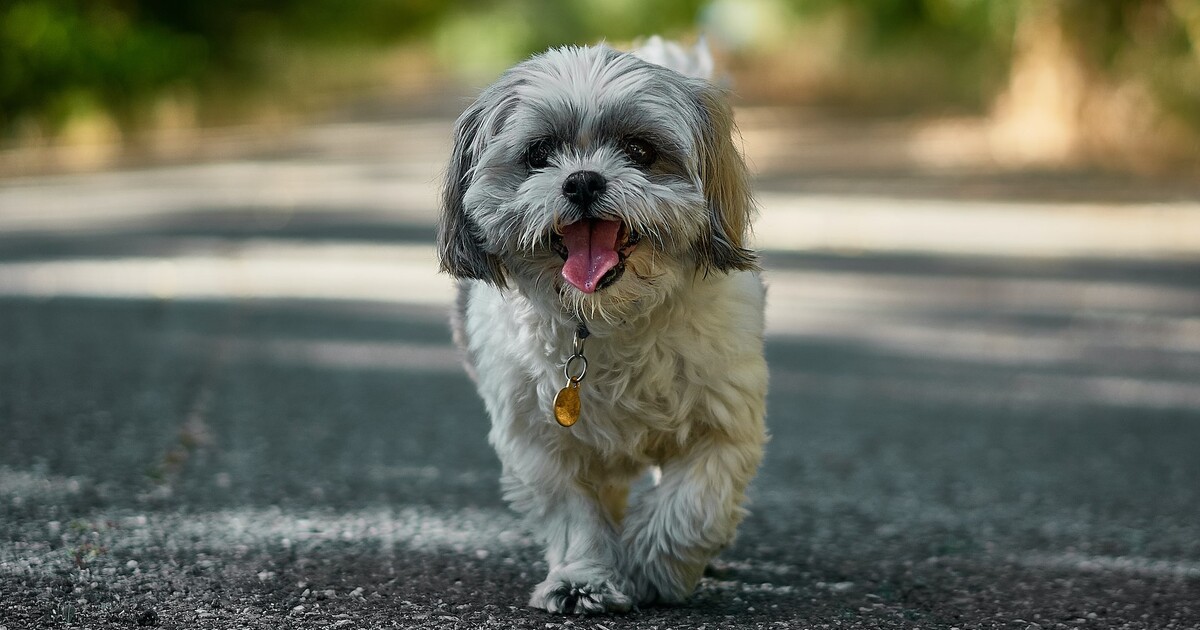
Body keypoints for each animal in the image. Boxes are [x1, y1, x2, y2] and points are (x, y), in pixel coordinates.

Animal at [439, 36, 768, 612]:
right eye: (539, 155)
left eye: (640, 151)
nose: (583, 180)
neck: (607, 321)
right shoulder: (539, 441)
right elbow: (574, 514)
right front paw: (582, 579)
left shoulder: (723, 423)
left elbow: (693, 505)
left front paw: (654, 569)